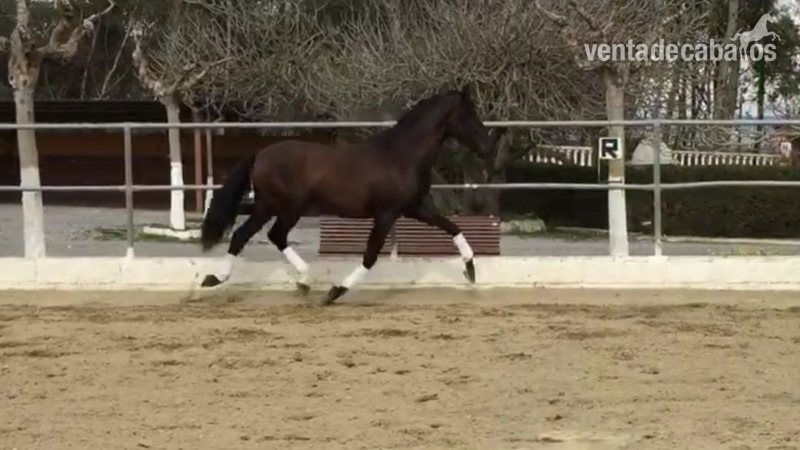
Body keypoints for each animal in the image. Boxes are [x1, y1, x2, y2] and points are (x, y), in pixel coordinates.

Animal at [199, 86, 494, 305]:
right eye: (469, 114)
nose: (486, 146)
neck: (401, 156)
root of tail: (259, 155)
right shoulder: (386, 215)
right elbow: (370, 256)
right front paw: (335, 291)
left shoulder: (414, 208)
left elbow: (451, 226)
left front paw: (470, 270)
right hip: (278, 207)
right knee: (252, 235)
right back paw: (219, 279)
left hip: (277, 208)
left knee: (264, 236)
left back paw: (300, 281)